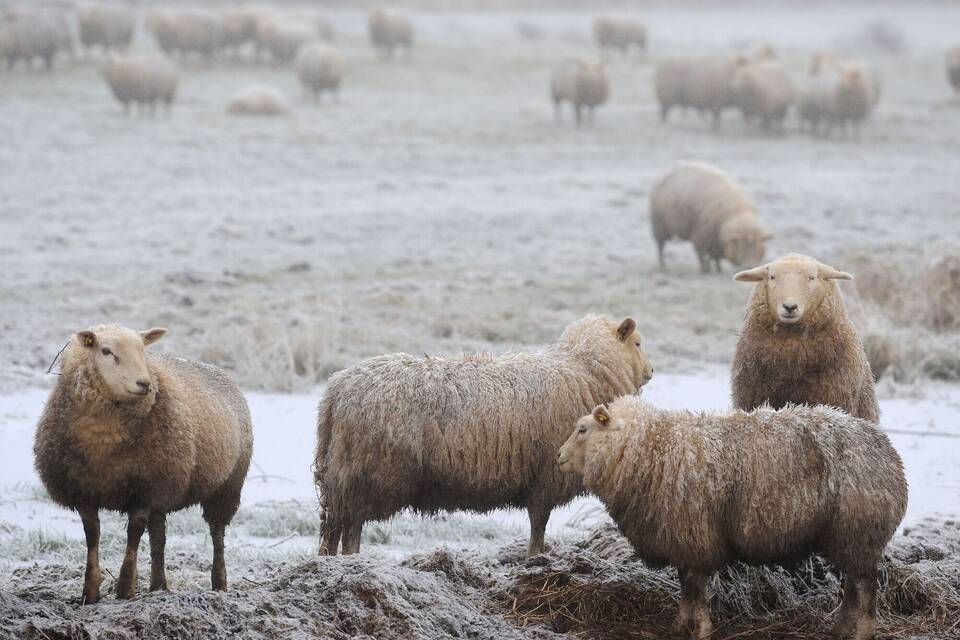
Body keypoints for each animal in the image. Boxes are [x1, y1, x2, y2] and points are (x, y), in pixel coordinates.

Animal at [34, 325, 253, 603]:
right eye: (106, 351)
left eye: (142, 349)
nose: (144, 384)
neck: (103, 440)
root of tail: (218, 370)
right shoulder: (83, 491)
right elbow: (92, 535)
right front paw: (90, 592)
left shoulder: (145, 489)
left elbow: (134, 534)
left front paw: (125, 588)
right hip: (166, 491)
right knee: (159, 538)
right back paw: (158, 586)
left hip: (226, 486)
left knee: (217, 534)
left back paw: (219, 585)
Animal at [314, 314, 654, 557]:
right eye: (638, 344)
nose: (651, 372)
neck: (582, 368)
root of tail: (336, 390)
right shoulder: (545, 476)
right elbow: (539, 525)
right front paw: (535, 559)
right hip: (365, 477)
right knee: (351, 527)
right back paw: (353, 561)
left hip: (337, 477)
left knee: (333, 527)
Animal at [558, 396, 907, 640]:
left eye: (583, 429)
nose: (558, 457)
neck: (653, 448)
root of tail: (888, 452)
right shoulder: (684, 539)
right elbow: (686, 587)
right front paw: (679, 625)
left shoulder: (695, 536)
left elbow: (696, 590)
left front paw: (701, 629)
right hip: (848, 537)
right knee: (852, 585)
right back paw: (840, 628)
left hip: (859, 530)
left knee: (866, 587)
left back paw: (863, 631)